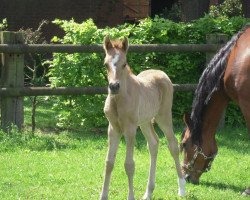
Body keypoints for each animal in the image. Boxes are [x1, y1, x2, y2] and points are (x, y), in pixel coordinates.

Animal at [99, 36, 186, 200]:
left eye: (124, 64)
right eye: (106, 64)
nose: (114, 86)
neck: (119, 99)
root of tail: (161, 73)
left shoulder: (130, 129)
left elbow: (129, 164)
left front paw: (130, 197)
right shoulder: (113, 128)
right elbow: (108, 163)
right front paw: (103, 196)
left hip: (163, 116)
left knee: (173, 145)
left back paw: (182, 188)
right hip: (145, 122)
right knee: (153, 144)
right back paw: (148, 192)